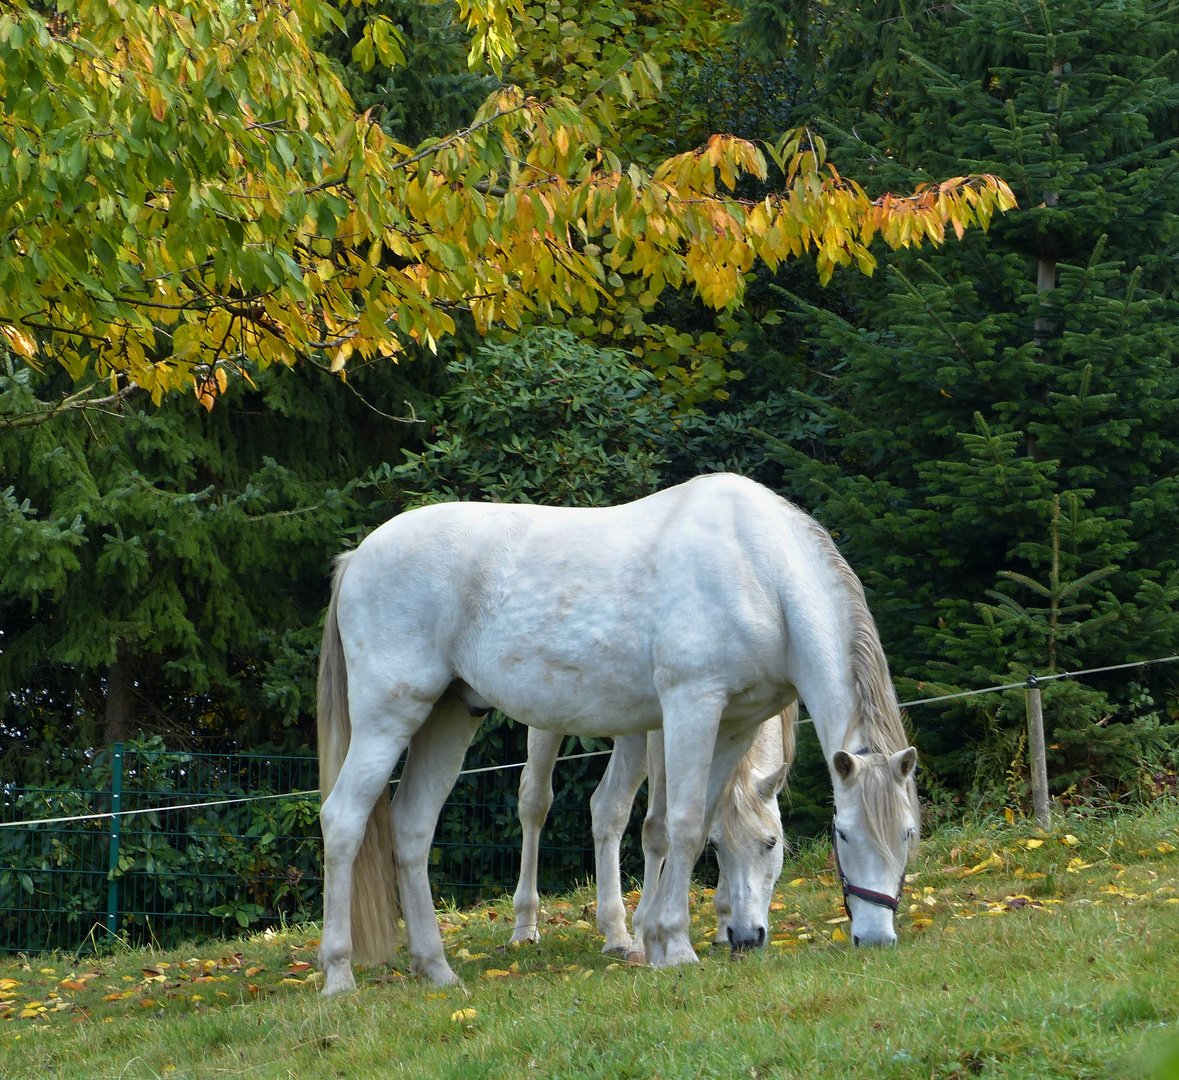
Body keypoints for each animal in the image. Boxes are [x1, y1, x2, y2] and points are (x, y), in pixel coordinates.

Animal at [509, 707, 797, 952]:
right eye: (714, 846)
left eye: (772, 842)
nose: (747, 937)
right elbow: (657, 830)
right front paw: (645, 937)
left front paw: (723, 922)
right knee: (534, 801)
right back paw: (525, 927)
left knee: (608, 808)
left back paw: (616, 933)